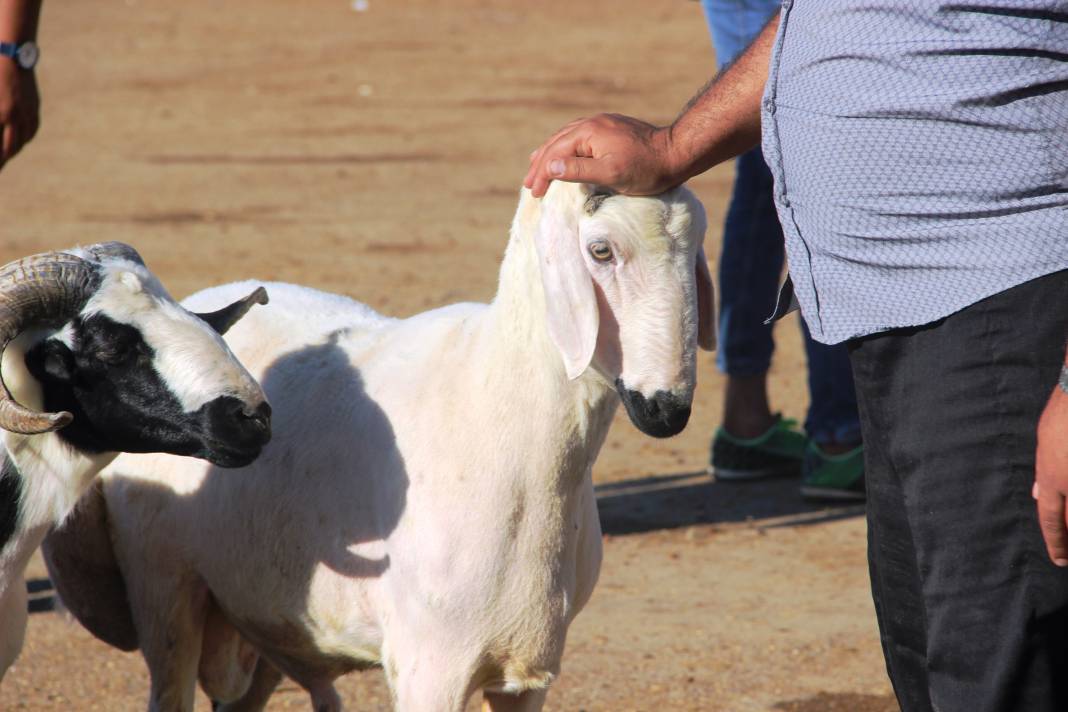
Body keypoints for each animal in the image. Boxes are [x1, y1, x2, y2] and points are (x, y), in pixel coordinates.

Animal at [48, 185, 717, 712]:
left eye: (696, 249)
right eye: (601, 250)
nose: (668, 408)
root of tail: (205, 301)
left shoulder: (529, 675)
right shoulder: (431, 668)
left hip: (259, 615)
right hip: (165, 588)